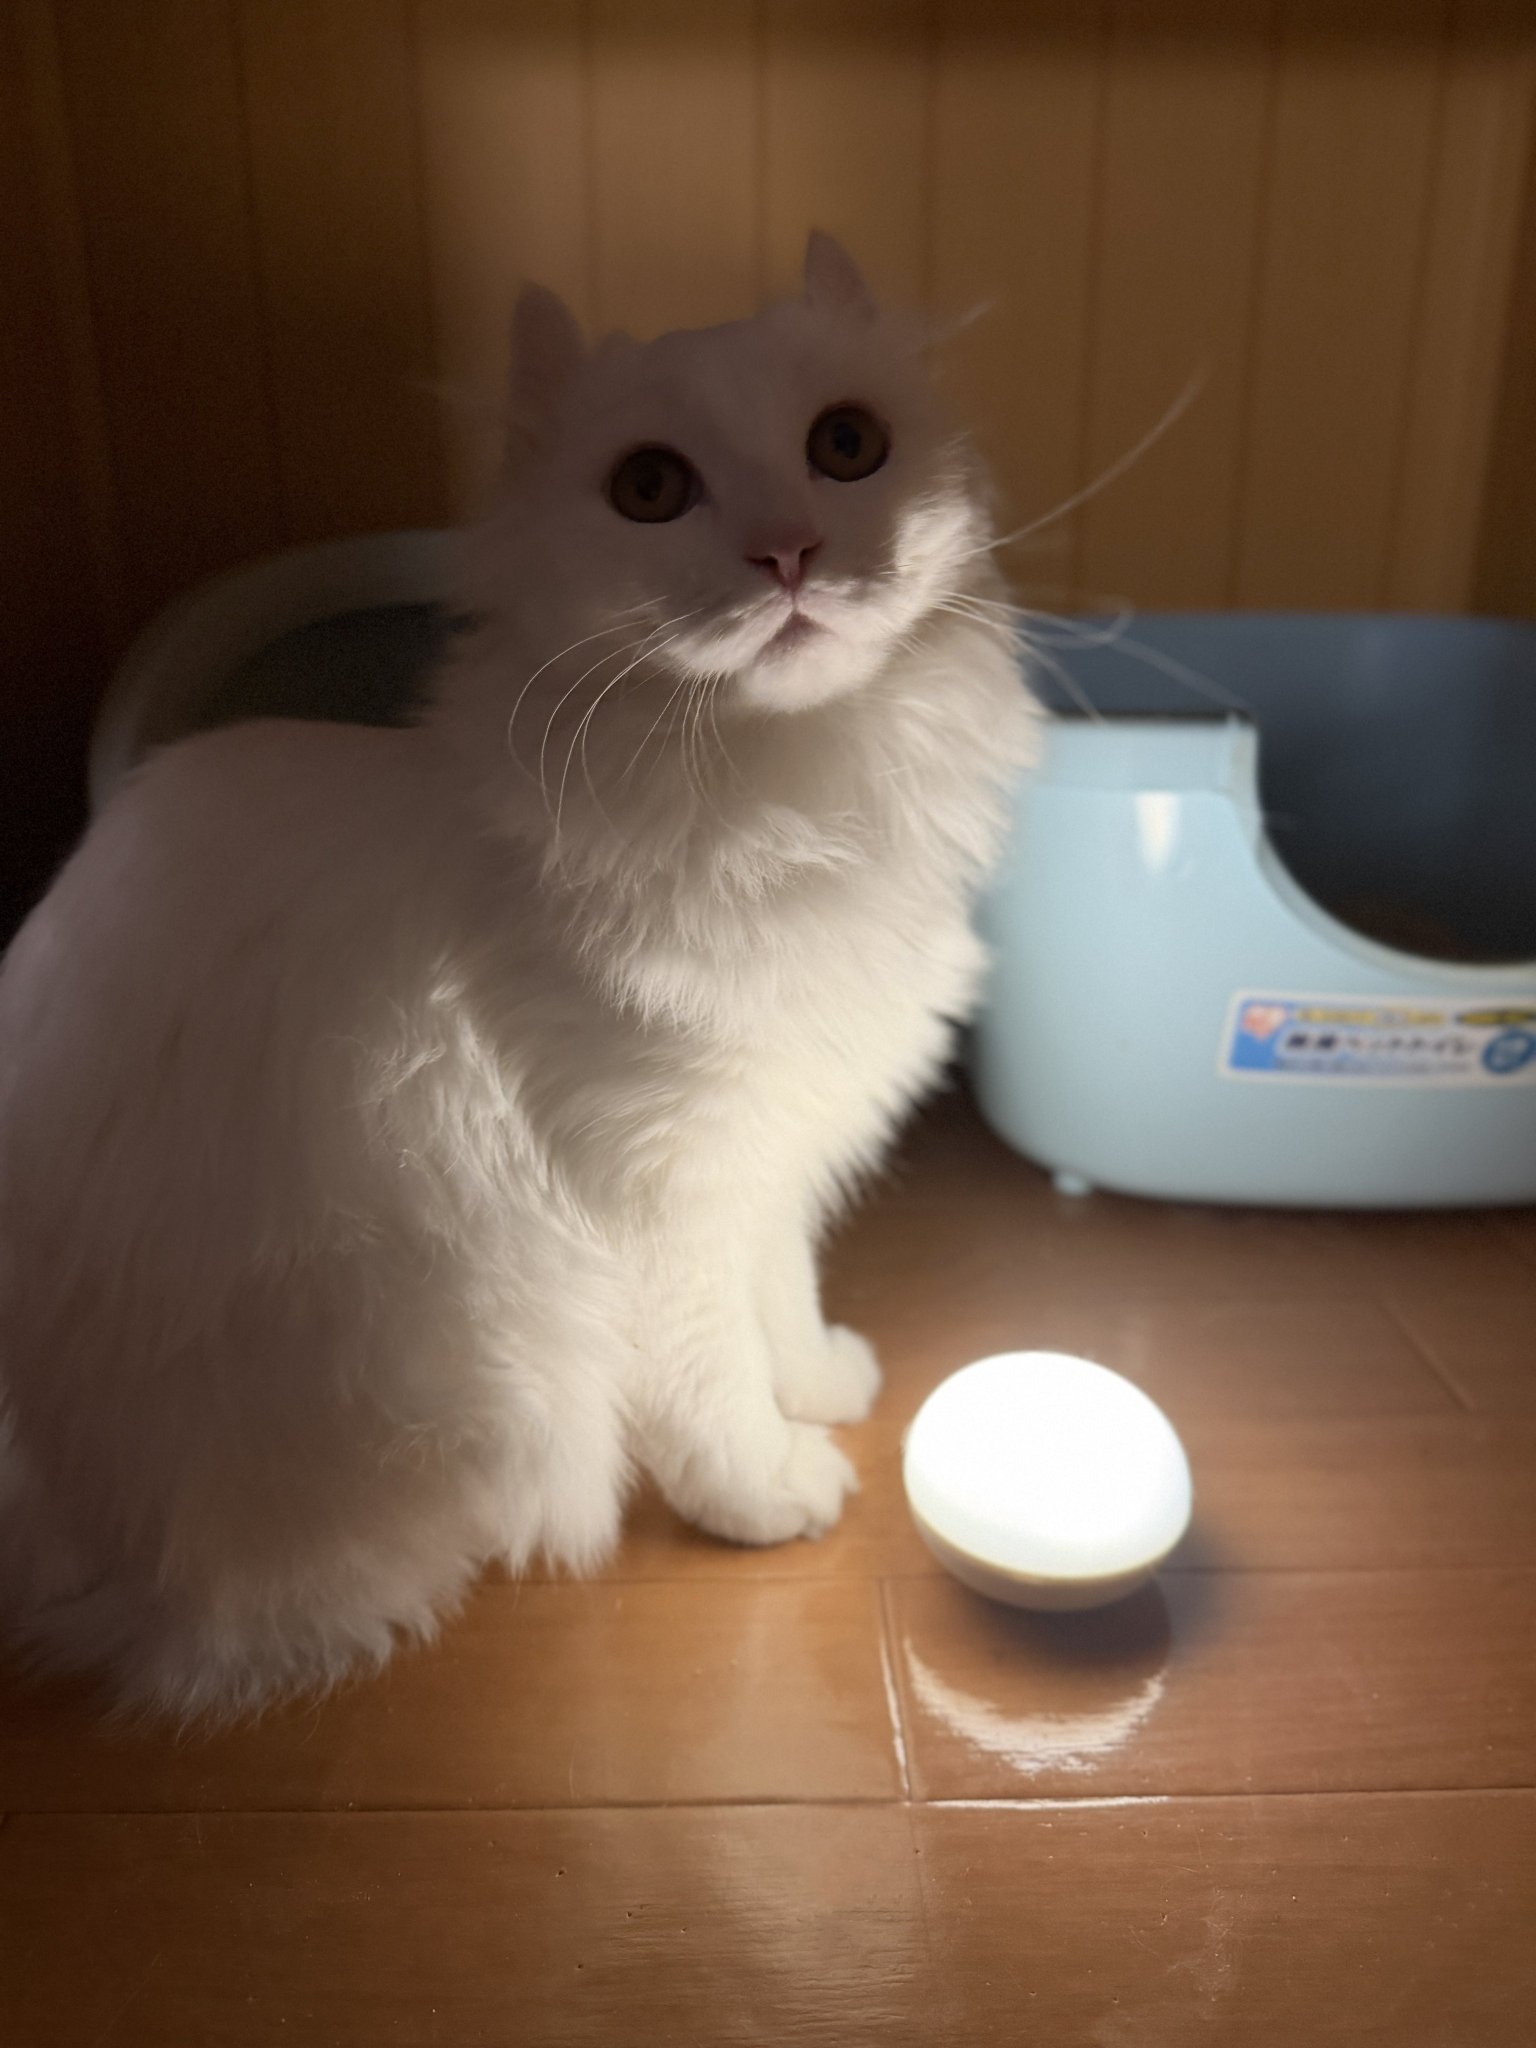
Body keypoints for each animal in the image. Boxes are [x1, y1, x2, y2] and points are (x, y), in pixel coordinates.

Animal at [0, 233, 1037, 1718]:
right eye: (650, 488)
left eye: (848, 445)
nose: (790, 549)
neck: (780, 802)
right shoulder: (656, 1187)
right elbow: (712, 1374)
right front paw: (772, 1489)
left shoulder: (768, 1152)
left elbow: (783, 1289)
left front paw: (822, 1382)